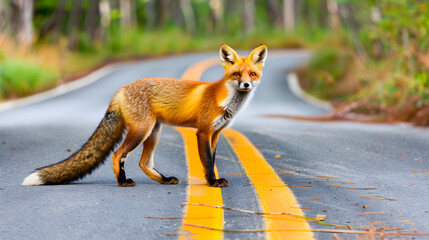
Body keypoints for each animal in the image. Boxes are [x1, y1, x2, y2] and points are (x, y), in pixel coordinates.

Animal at [22, 43, 268, 188]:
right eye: (236, 74)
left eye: (252, 74)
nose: (246, 84)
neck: (226, 101)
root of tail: (121, 88)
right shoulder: (203, 132)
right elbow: (207, 161)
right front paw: (213, 182)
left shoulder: (215, 133)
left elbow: (213, 159)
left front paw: (213, 180)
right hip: (141, 130)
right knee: (118, 154)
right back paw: (122, 182)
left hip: (154, 132)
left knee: (144, 163)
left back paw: (165, 179)